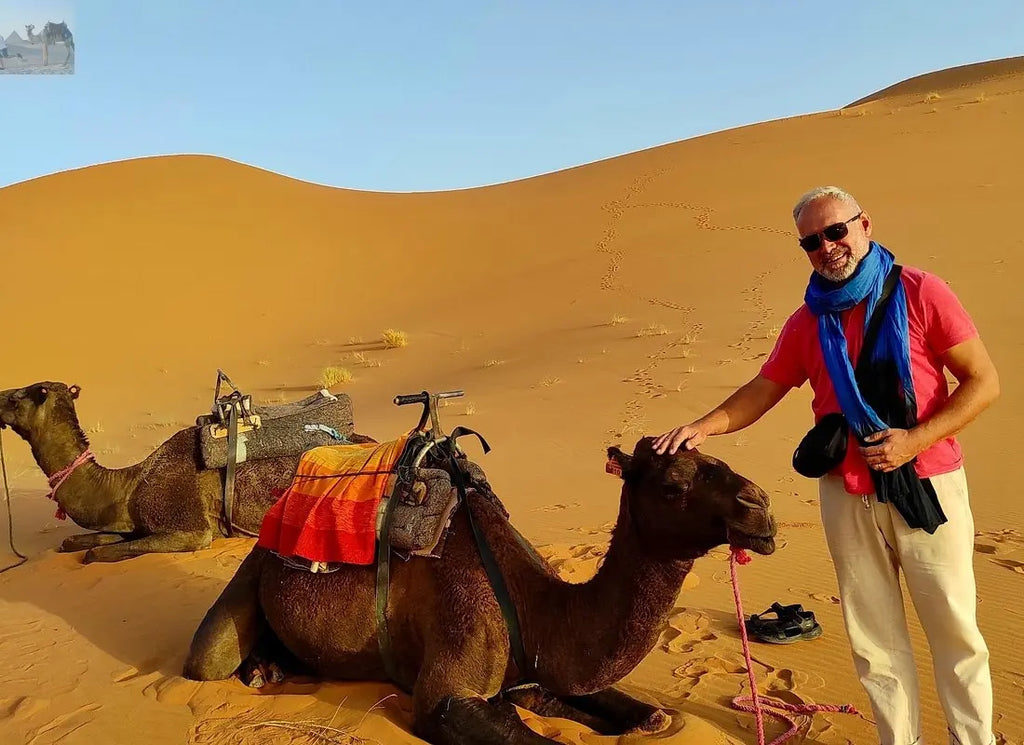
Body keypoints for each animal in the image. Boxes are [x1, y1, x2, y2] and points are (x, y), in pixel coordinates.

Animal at [184, 435, 777, 744]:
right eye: (674, 486)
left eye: (721, 461)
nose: (761, 507)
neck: (535, 608)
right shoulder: (447, 686)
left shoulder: (534, 668)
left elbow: (641, 712)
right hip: (251, 573)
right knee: (210, 657)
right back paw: (258, 670)